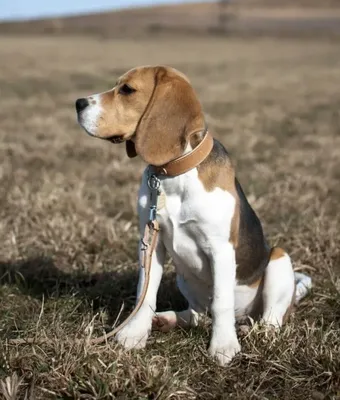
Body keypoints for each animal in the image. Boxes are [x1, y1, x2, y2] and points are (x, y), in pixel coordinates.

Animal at [75, 65, 312, 366]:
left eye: (127, 90)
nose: (78, 103)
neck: (174, 174)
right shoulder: (150, 243)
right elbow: (145, 292)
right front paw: (135, 334)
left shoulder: (221, 249)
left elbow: (221, 301)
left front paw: (223, 346)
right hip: (183, 278)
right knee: (198, 315)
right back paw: (167, 319)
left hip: (279, 260)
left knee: (270, 321)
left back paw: (250, 330)